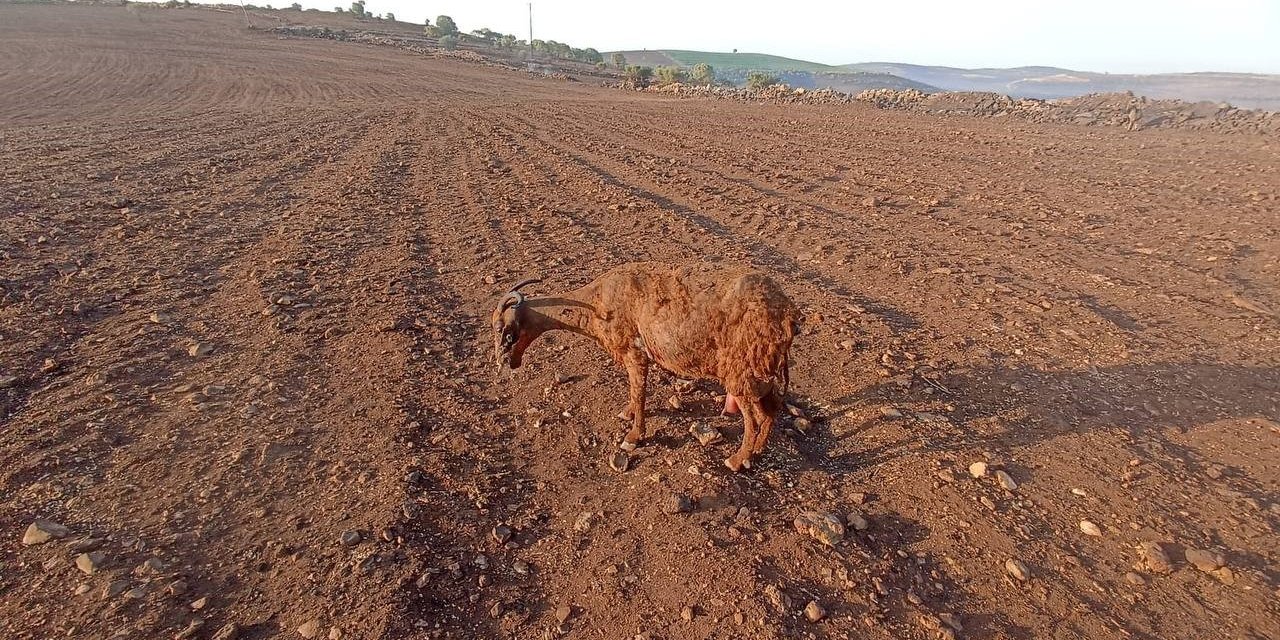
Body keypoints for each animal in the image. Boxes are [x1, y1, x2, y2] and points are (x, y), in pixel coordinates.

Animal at [491, 261, 798, 471]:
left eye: (503, 331)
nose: (506, 363)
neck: (597, 301)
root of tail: (787, 315)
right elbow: (633, 392)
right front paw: (626, 414)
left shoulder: (634, 352)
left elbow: (639, 393)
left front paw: (633, 437)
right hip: (760, 372)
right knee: (770, 411)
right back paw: (756, 452)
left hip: (740, 371)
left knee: (754, 418)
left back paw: (737, 459)